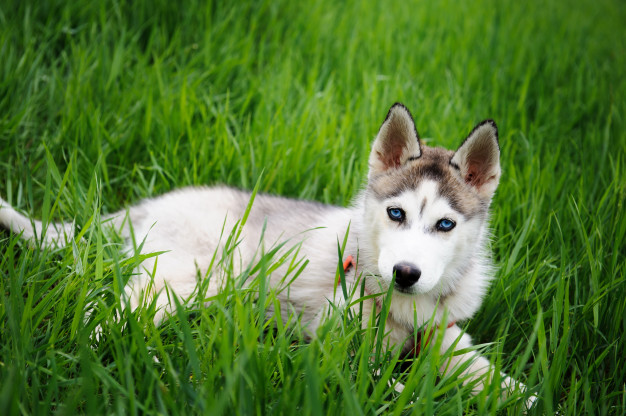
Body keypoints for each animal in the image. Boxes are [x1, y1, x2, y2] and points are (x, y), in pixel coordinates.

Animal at [0, 103, 532, 404]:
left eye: (445, 224)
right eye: (396, 214)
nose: (406, 273)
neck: (401, 308)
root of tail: (145, 205)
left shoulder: (446, 336)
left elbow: (499, 381)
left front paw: (525, 398)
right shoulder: (333, 344)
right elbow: (384, 383)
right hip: (186, 278)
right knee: (103, 315)